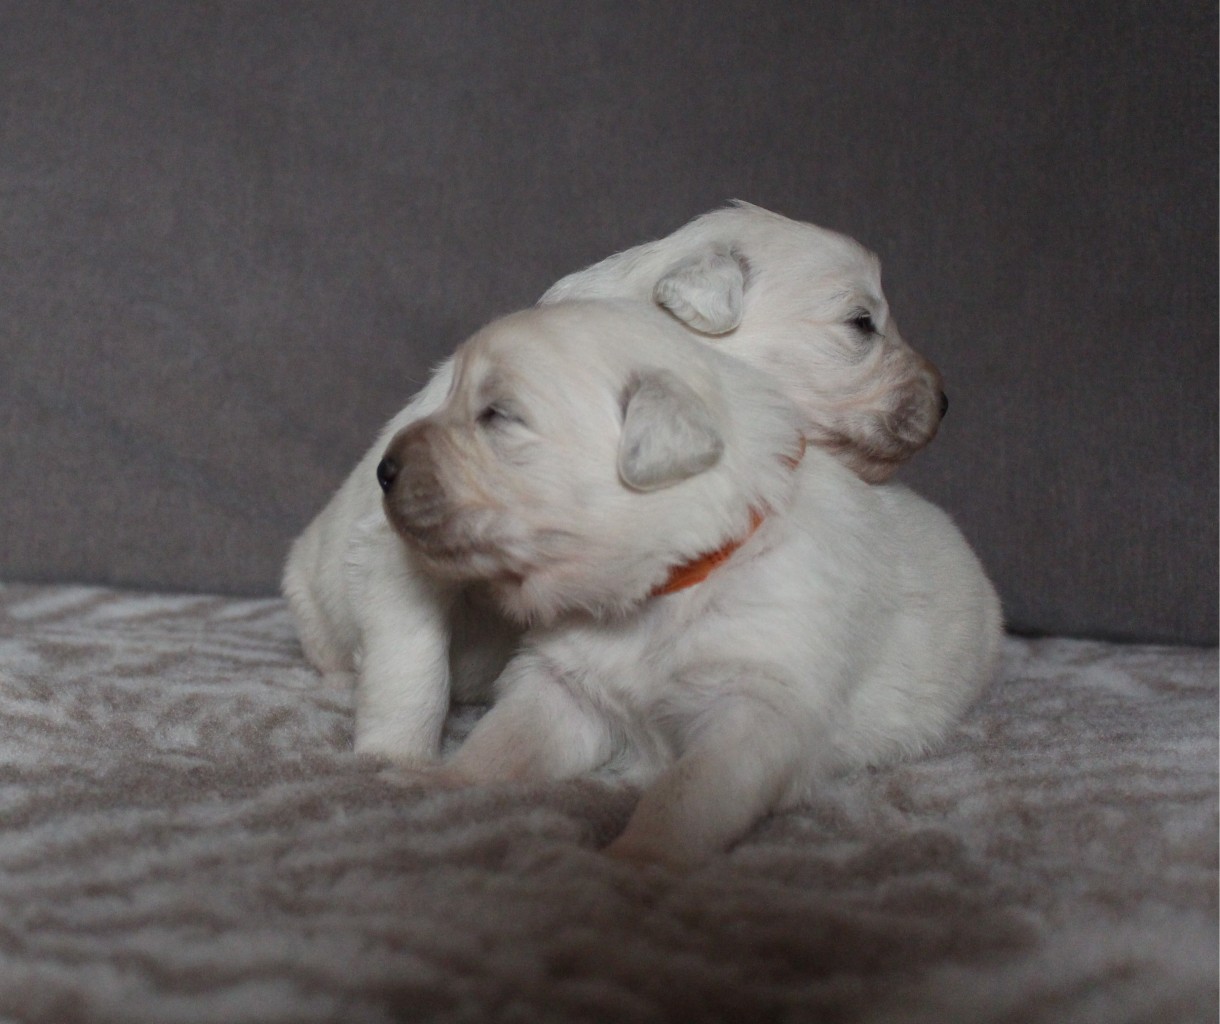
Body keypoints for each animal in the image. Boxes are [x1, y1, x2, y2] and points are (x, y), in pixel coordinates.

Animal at [377, 299, 1002, 866]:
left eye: (498, 415)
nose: (383, 470)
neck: (668, 585)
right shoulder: (564, 685)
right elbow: (502, 741)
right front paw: (436, 784)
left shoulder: (754, 707)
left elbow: (684, 792)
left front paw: (633, 859)